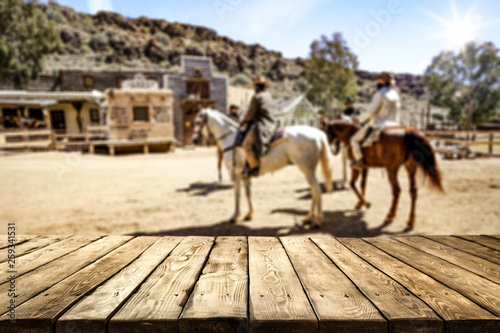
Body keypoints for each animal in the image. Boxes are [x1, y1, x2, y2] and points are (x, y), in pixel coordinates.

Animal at [193, 107, 334, 227]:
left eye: (198, 121)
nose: (194, 140)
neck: (232, 138)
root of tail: (318, 134)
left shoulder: (236, 173)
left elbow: (237, 194)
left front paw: (235, 216)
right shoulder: (245, 174)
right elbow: (247, 193)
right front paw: (249, 214)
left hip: (307, 170)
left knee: (316, 190)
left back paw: (317, 220)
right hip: (308, 171)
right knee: (313, 191)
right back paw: (309, 217)